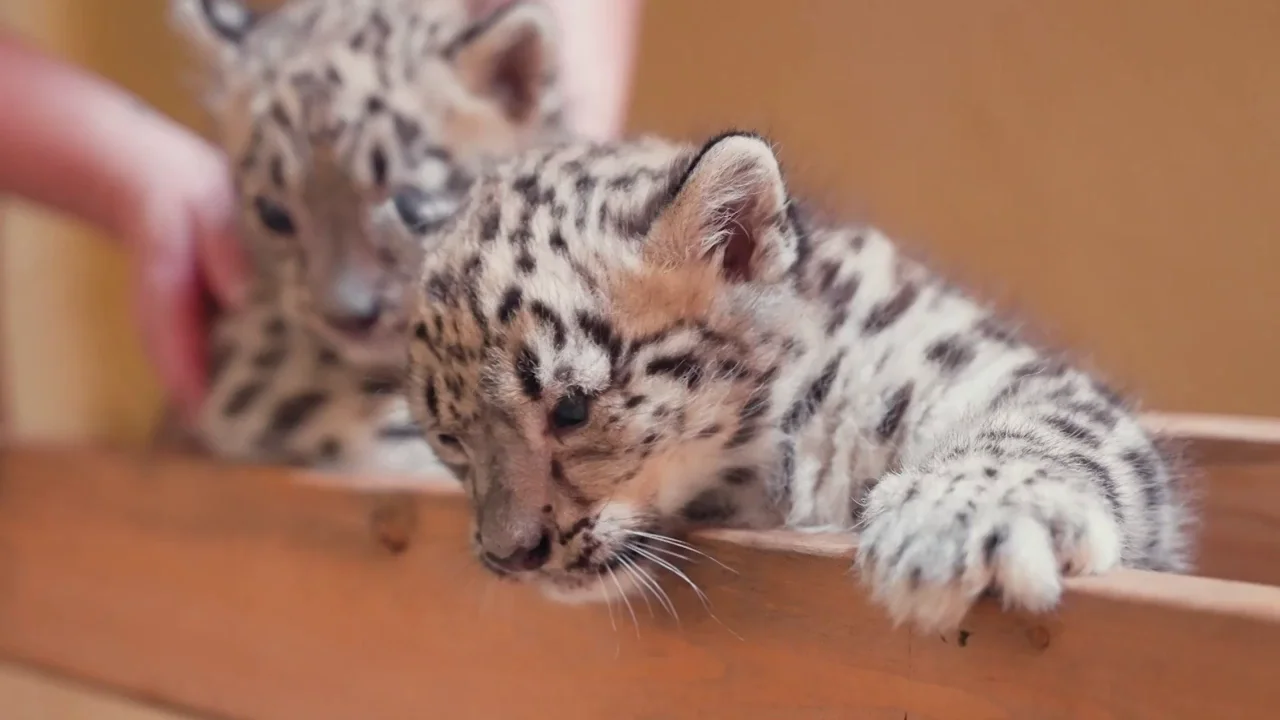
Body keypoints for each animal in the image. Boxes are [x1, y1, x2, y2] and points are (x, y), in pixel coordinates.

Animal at [404, 130, 1195, 632]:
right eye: (450, 439)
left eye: (571, 409)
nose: (508, 556)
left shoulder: (974, 361)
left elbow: (1045, 427)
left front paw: (959, 523)